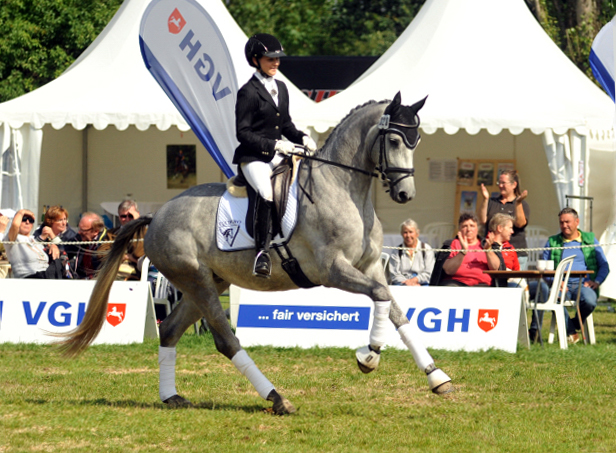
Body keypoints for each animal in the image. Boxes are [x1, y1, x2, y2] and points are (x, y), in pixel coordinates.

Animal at [56, 92, 452, 414]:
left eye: (417, 141)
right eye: (396, 139)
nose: (405, 195)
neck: (342, 187)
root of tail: (156, 217)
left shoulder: (369, 266)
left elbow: (397, 310)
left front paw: (437, 377)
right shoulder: (332, 269)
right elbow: (382, 296)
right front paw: (369, 356)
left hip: (206, 283)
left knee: (168, 329)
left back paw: (172, 397)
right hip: (196, 280)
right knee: (225, 339)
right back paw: (277, 399)